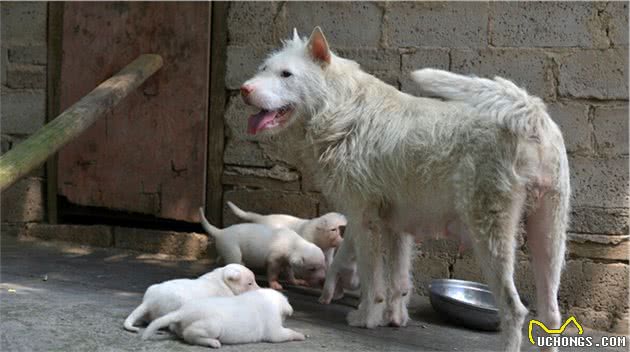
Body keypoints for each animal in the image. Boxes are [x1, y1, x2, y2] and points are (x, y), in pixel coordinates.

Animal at [144, 288, 308, 348]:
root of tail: (183, 312)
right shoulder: (275, 332)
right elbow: (287, 333)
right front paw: (300, 335)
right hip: (213, 325)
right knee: (190, 334)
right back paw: (213, 343)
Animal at [200, 208, 328, 290]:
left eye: (323, 266)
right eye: (312, 269)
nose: (323, 280)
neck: (294, 243)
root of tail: (220, 232)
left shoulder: (286, 261)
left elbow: (289, 272)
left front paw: (296, 281)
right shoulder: (274, 259)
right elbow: (273, 272)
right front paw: (274, 284)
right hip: (232, 249)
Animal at [241, 26, 572, 350]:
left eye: (286, 74)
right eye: (263, 69)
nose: (244, 90)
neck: (340, 107)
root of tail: (532, 114)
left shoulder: (365, 221)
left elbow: (373, 280)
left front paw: (366, 318)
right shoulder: (398, 227)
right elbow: (398, 282)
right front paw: (394, 318)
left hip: (492, 239)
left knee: (515, 310)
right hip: (550, 238)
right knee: (551, 314)